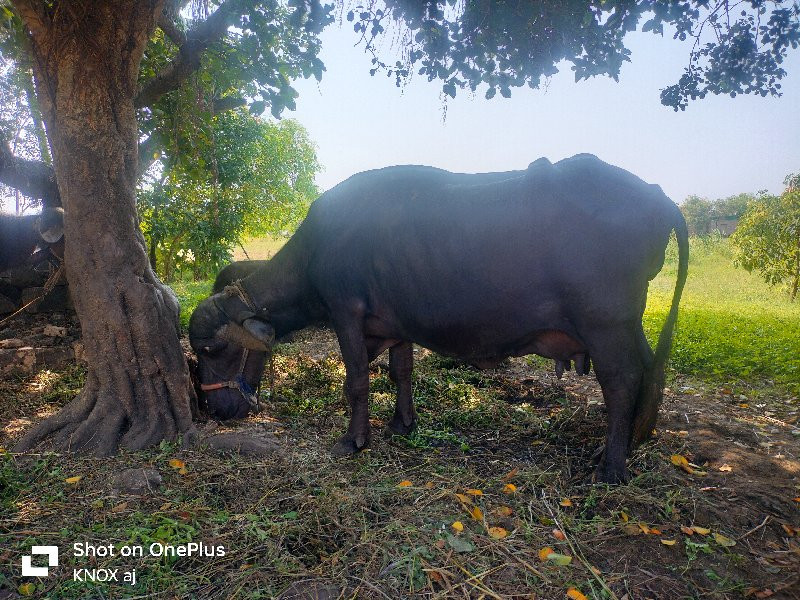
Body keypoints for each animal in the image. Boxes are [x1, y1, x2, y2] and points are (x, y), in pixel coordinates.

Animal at [189, 155, 688, 482]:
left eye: (213, 348)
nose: (216, 410)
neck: (319, 247)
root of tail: (658, 196)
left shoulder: (345, 312)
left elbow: (357, 381)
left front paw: (353, 439)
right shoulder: (396, 325)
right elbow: (401, 371)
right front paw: (402, 423)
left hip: (605, 325)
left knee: (622, 380)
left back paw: (611, 466)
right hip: (628, 325)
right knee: (648, 372)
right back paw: (628, 442)